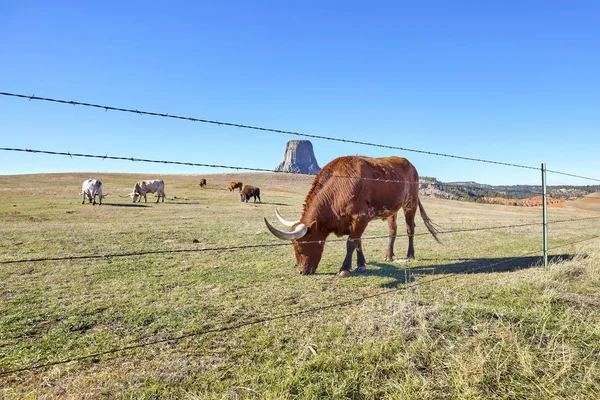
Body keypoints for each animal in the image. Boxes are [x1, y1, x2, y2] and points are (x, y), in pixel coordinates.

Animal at [264, 155, 440, 276]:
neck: (338, 187)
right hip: (392, 209)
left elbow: (351, 243)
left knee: (410, 228)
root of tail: (410, 164)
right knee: (392, 230)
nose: (302, 271)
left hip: (410, 204)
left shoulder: (360, 218)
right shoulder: (353, 222)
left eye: (299, 247)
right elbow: (358, 242)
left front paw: (345, 269)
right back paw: (388, 255)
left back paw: (410, 254)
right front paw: (361, 264)